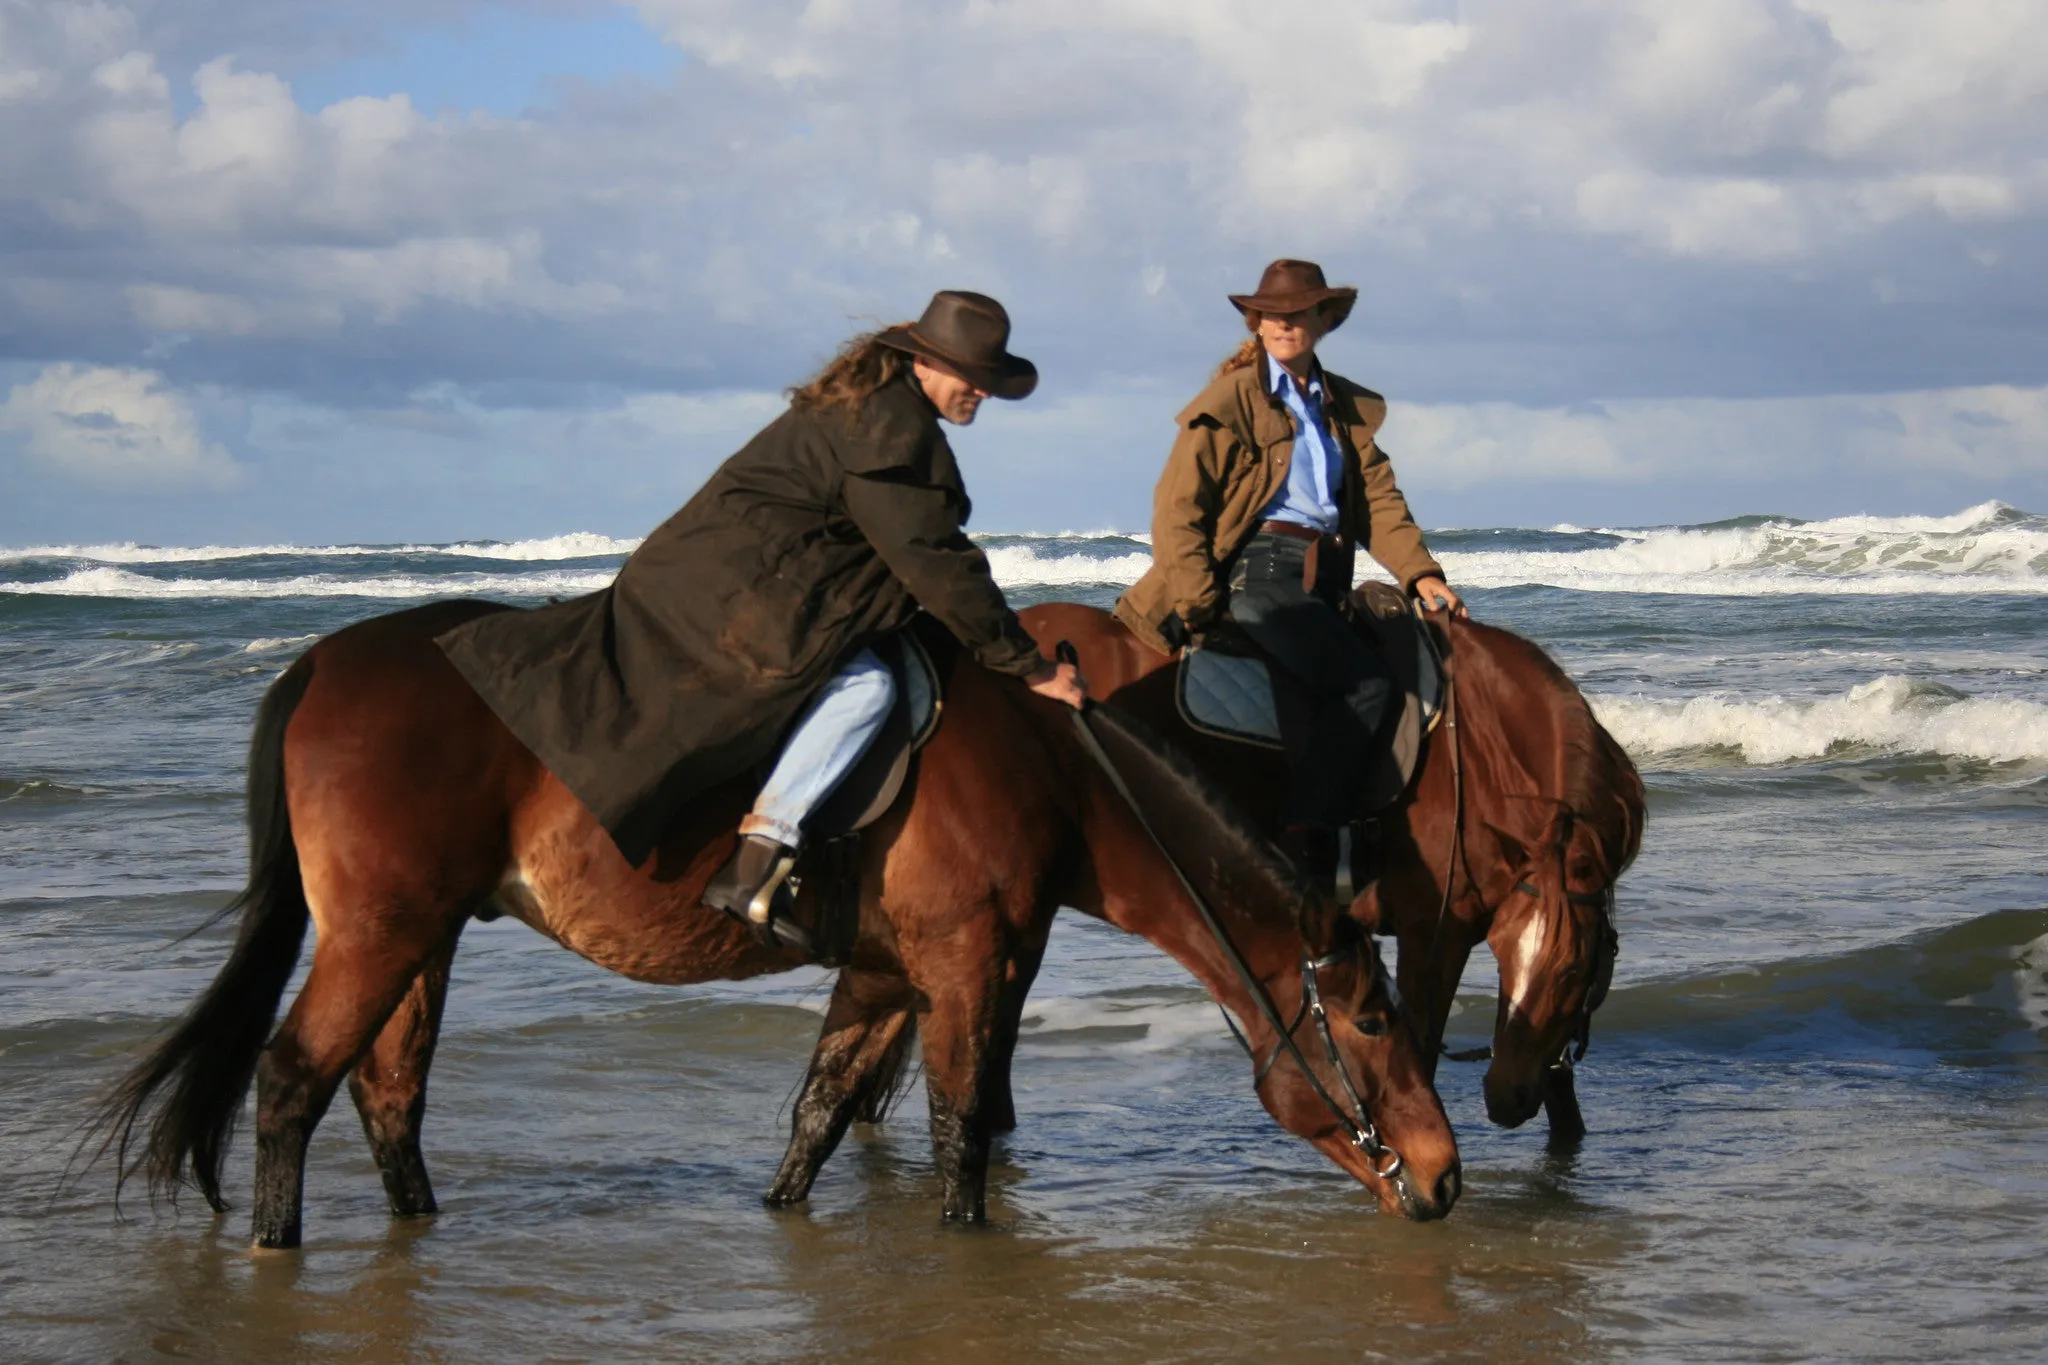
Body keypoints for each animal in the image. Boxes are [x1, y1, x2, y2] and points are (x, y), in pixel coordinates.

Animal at [83, 601, 1458, 1252]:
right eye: (1370, 1020)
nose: (1441, 1176)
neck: (1051, 772)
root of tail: (323, 663)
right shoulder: (970, 967)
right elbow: (960, 1136)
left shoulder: (887, 976)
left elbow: (816, 1117)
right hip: (380, 931)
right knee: (291, 1079)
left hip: (421, 941)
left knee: (386, 1094)